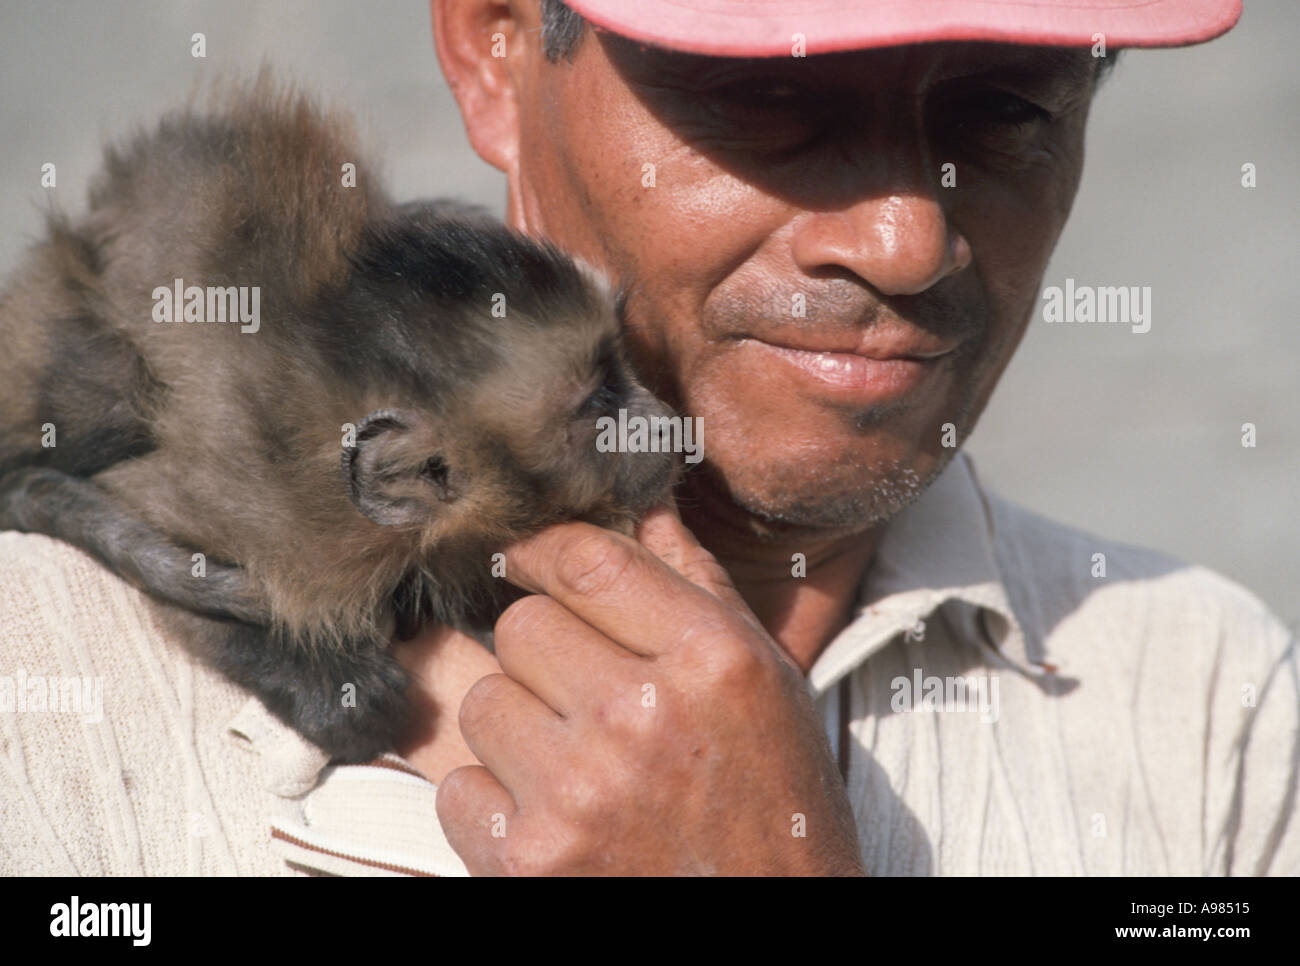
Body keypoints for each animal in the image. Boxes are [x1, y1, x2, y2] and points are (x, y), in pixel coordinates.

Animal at [0, 75, 676, 763]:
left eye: (623, 367)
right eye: (599, 403)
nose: (668, 422)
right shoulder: (288, 518)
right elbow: (173, 552)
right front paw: (321, 678)